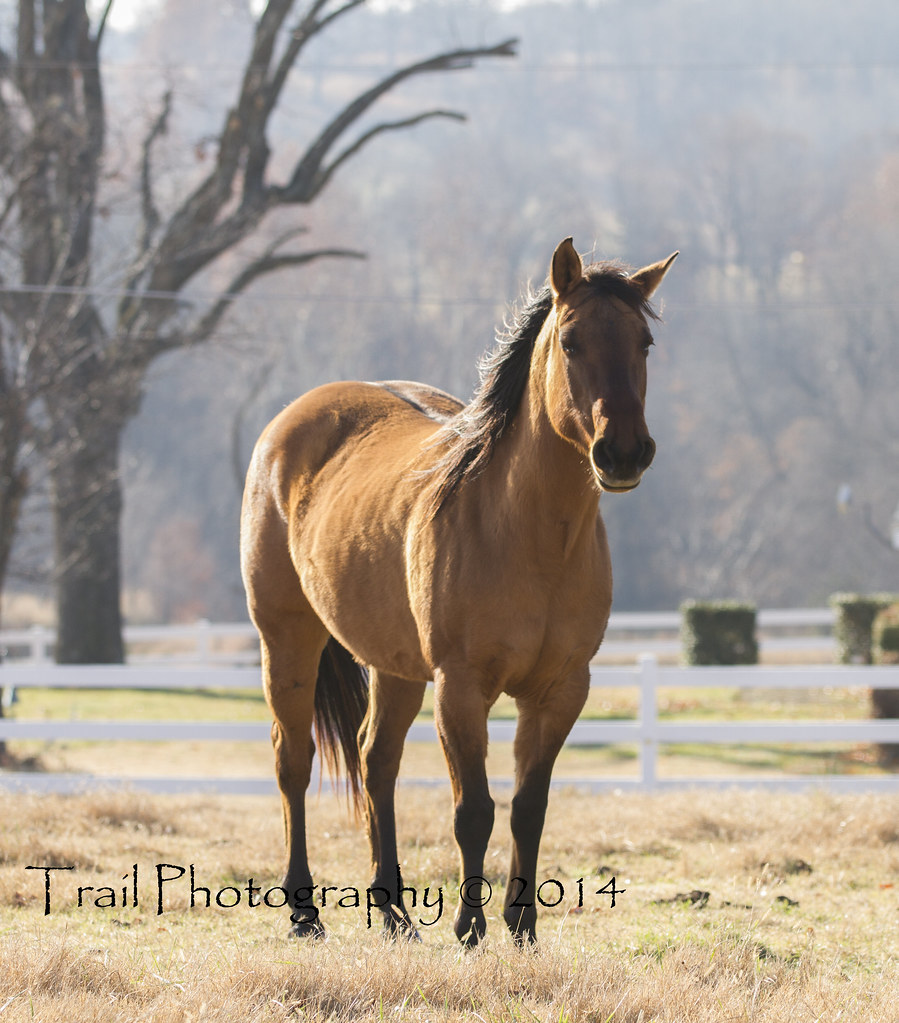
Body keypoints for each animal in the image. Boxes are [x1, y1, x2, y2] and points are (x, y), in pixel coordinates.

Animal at [240, 237, 677, 946]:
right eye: (572, 341)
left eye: (644, 342)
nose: (624, 453)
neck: (529, 537)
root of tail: (288, 425)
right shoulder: (461, 687)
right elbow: (473, 809)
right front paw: (470, 929)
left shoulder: (561, 691)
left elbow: (528, 807)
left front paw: (522, 928)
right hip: (286, 640)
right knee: (293, 761)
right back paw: (305, 913)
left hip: (394, 667)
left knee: (376, 760)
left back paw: (393, 914)